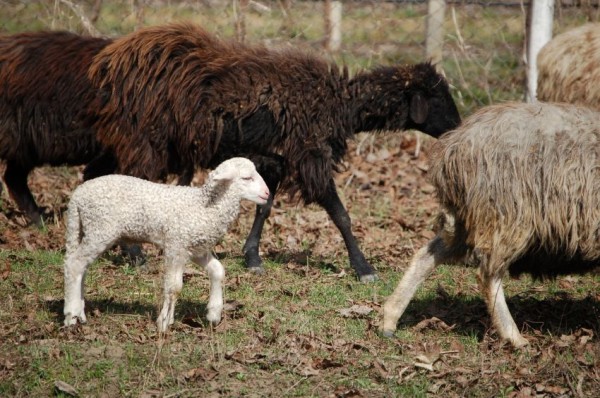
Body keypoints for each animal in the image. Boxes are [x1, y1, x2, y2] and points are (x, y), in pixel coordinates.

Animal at [62, 157, 268, 332]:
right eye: (247, 177)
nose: (267, 193)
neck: (205, 206)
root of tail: (77, 196)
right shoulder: (176, 246)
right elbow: (174, 287)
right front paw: (164, 322)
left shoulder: (194, 248)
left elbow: (218, 270)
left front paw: (214, 313)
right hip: (100, 229)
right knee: (74, 264)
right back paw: (71, 316)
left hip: (92, 231)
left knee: (81, 267)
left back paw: (80, 313)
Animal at [384, 102, 600, 346]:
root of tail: (453, 146)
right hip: (506, 215)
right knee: (487, 274)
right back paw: (514, 337)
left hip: (469, 219)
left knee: (427, 255)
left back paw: (389, 318)